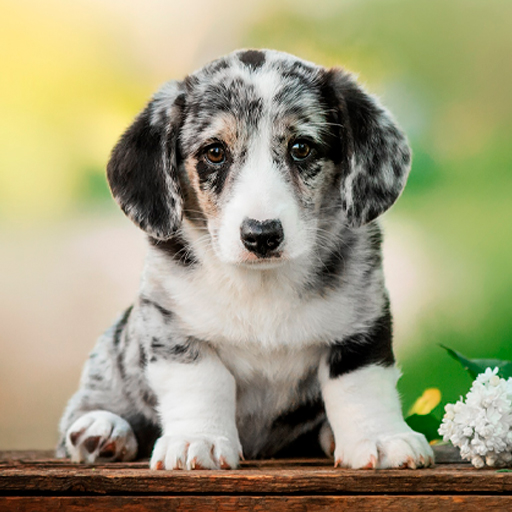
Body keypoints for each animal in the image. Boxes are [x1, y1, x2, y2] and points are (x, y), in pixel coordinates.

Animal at [57, 50, 432, 470]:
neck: (262, 283)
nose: (261, 235)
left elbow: (361, 386)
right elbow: (202, 381)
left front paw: (381, 438)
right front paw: (198, 440)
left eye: (301, 148)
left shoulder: (362, 327)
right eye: (214, 152)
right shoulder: (173, 327)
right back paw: (102, 430)